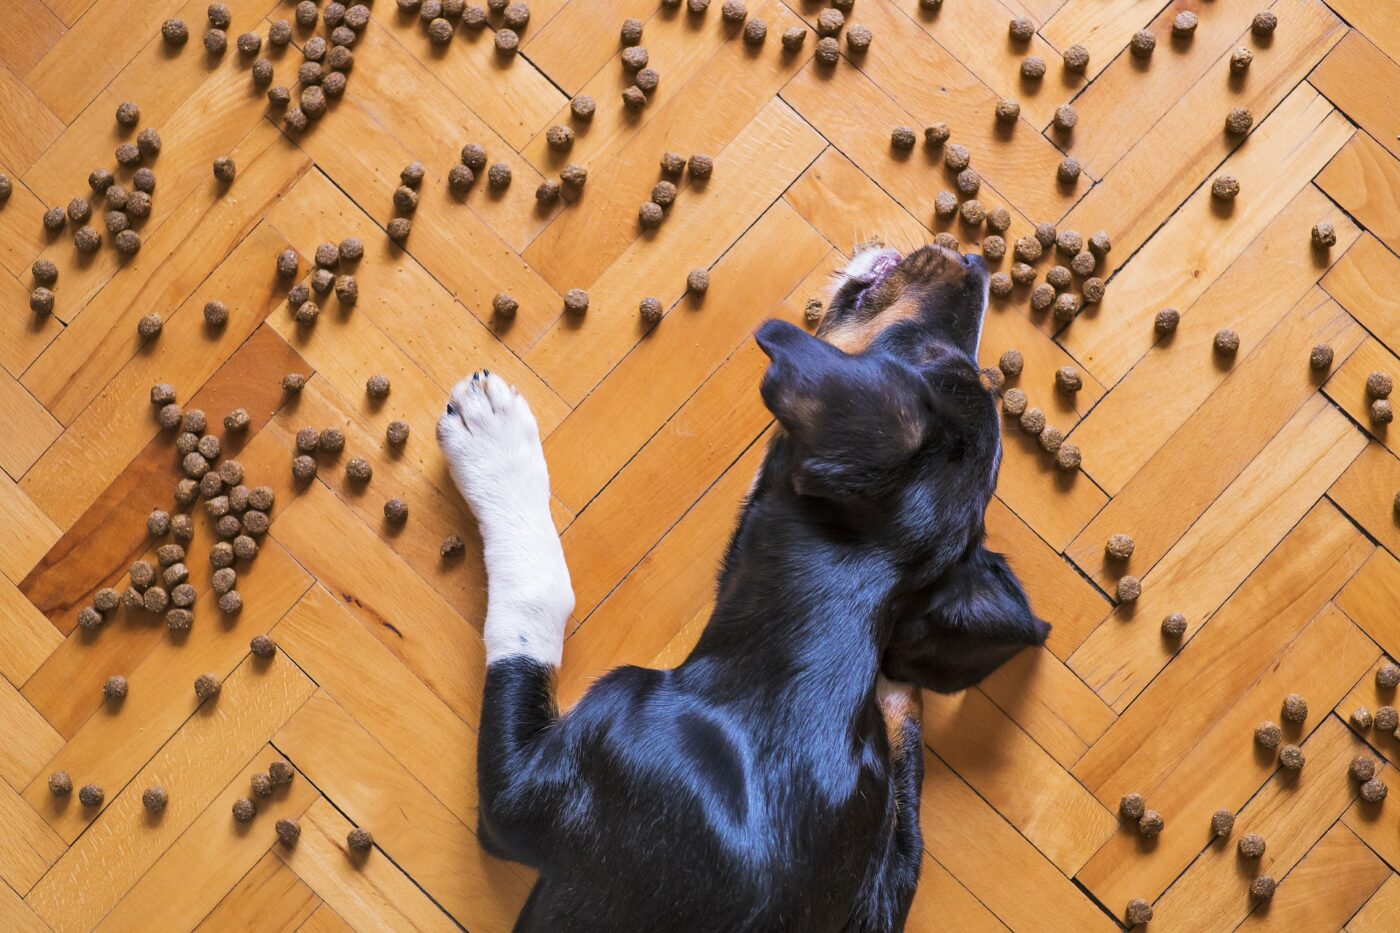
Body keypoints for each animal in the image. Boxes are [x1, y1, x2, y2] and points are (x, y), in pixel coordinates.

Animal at [436, 243, 1052, 924]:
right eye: (951, 361)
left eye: (924, 356)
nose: (971, 262)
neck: (793, 676)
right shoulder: (885, 869)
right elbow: (902, 776)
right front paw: (898, 684)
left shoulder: (521, 797)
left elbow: (537, 600)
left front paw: (493, 442)